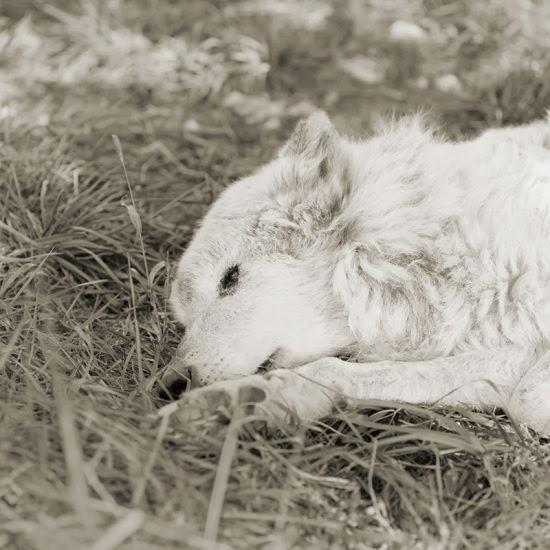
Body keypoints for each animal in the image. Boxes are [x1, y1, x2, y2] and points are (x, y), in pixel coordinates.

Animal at [163, 112, 550, 436]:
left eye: (230, 278)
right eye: (184, 320)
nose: (170, 383)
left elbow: (526, 397)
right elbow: (344, 371)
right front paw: (239, 402)